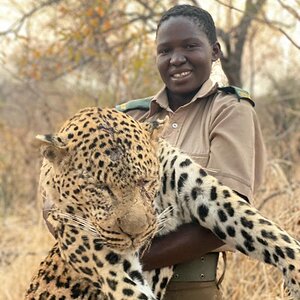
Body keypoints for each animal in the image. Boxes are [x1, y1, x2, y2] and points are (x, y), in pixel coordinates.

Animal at [25, 106, 300, 298]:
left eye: (146, 182)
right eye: (100, 188)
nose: (136, 235)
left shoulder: (201, 189)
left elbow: (264, 229)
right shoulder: (90, 244)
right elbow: (130, 289)